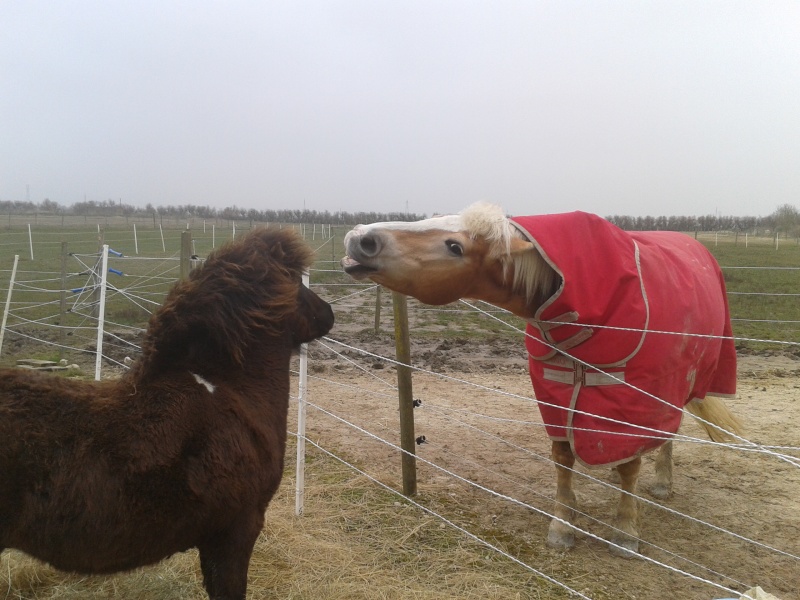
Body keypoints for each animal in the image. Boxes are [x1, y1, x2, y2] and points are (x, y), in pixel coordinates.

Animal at [340, 203, 740, 556]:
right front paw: (563, 524)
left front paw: (626, 533)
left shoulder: (637, 403)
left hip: (679, 387)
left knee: (668, 434)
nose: (360, 238)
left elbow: (629, 468)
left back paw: (660, 482)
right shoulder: (557, 396)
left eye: (455, 246)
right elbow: (563, 457)